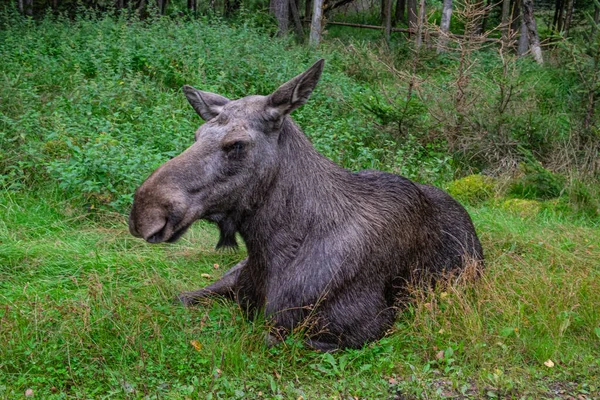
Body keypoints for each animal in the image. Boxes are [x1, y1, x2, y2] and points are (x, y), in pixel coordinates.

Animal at [127, 58, 482, 350]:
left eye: (237, 144)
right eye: (198, 134)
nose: (144, 213)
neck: (268, 253)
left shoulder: (370, 326)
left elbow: (268, 336)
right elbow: (179, 298)